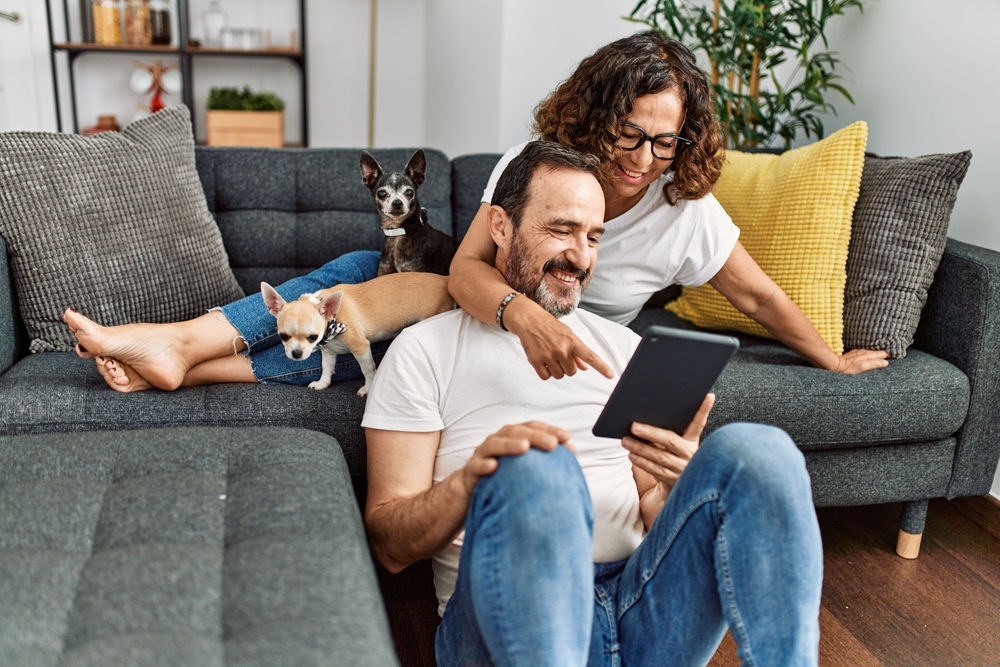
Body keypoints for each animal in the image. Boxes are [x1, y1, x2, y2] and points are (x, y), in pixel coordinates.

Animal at [264, 272, 456, 396]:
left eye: (312, 337)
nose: (296, 353)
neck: (333, 320)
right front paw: (322, 383)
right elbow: (327, 367)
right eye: (283, 336)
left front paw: (368, 389)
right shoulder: (329, 351)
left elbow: (368, 369)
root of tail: (445, 279)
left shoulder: (360, 347)